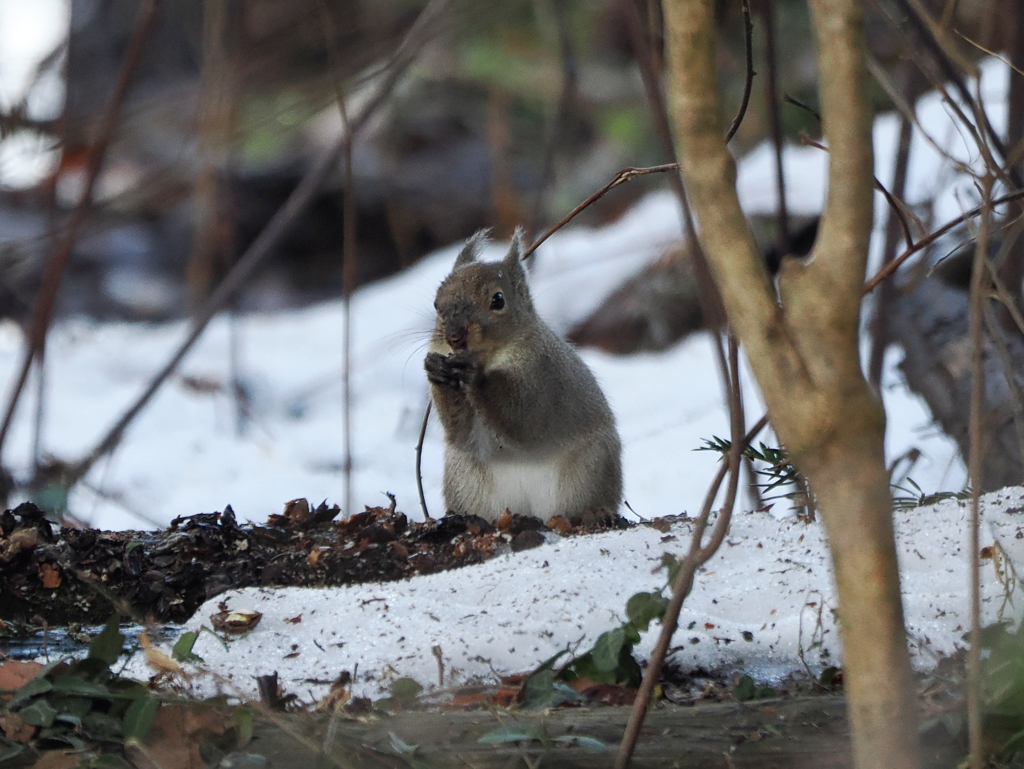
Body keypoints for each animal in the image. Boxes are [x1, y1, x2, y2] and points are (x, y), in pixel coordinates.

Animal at [419, 225, 618, 520]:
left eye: (498, 300)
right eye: (436, 304)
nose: (454, 335)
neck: (491, 358)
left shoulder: (542, 376)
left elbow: (522, 417)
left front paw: (475, 375)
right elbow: (461, 434)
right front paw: (436, 369)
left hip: (591, 471)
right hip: (465, 483)